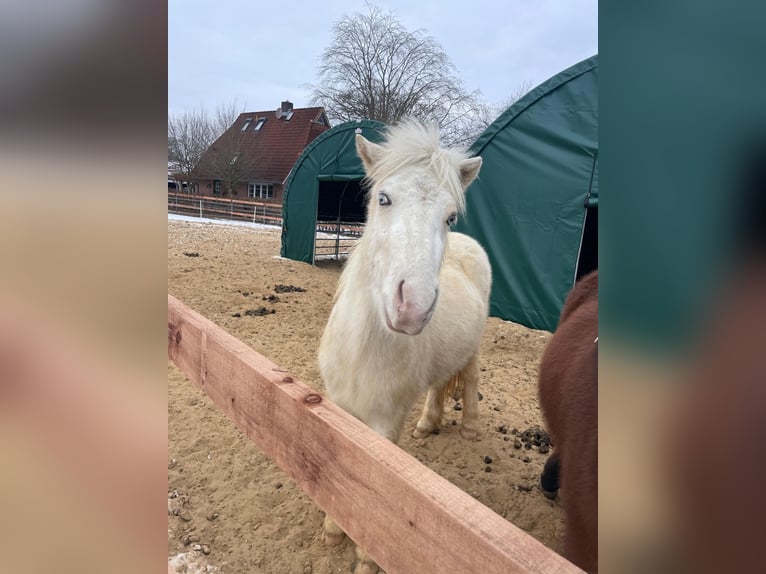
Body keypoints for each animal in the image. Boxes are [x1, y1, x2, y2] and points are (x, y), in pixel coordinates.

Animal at [318, 119, 491, 573]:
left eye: (450, 215)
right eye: (383, 198)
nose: (413, 305)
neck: (363, 349)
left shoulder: (385, 421)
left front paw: (366, 556)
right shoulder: (338, 407)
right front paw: (333, 528)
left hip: (473, 349)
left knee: (469, 377)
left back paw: (470, 428)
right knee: (438, 385)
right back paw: (428, 423)